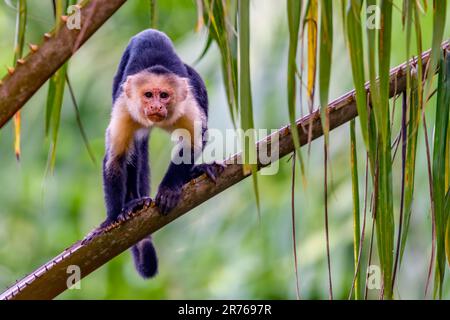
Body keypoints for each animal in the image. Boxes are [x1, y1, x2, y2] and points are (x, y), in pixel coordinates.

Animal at [102, 30, 221, 280]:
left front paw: (168, 189)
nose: (156, 106)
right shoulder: (125, 107)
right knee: (135, 147)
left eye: (164, 95)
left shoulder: (186, 101)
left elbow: (193, 141)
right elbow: (116, 158)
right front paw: (112, 217)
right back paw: (133, 203)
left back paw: (194, 173)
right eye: (149, 95)